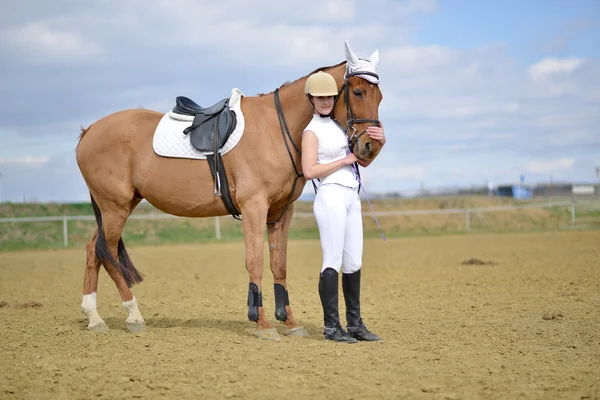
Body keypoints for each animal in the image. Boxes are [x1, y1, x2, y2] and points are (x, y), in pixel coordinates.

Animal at [76, 41, 384, 340]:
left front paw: (290, 322)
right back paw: (133, 315)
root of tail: (89, 131)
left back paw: (95, 318)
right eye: (358, 92)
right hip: (114, 207)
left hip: (121, 205)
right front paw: (262, 324)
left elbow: (279, 264)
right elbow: (255, 262)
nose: (372, 146)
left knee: (94, 249)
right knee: (107, 252)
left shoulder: (281, 211)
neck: (276, 128)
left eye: (379, 97)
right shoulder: (254, 206)